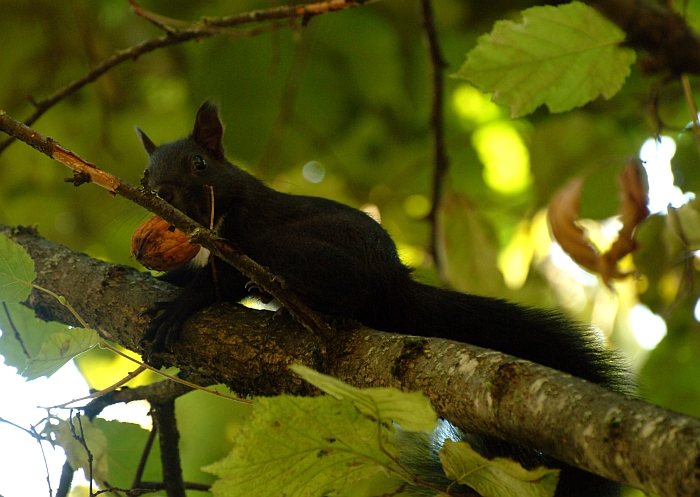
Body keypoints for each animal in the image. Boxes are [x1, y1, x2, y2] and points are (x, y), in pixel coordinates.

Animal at [137, 101, 636, 496]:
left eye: (199, 163)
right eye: (146, 174)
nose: (162, 194)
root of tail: (395, 280)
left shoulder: (242, 235)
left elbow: (218, 284)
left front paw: (176, 310)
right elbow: (188, 275)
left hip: (302, 251)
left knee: (339, 290)